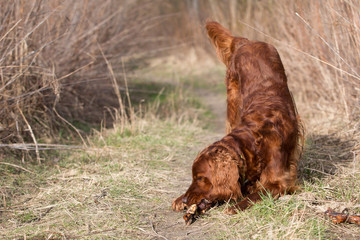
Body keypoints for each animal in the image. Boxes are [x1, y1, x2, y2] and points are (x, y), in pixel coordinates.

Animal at [173, 21, 302, 215]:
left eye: (201, 178)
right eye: (194, 178)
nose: (187, 200)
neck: (255, 139)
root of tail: (245, 41)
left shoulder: (278, 180)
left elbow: (257, 193)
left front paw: (235, 206)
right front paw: (179, 199)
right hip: (232, 100)